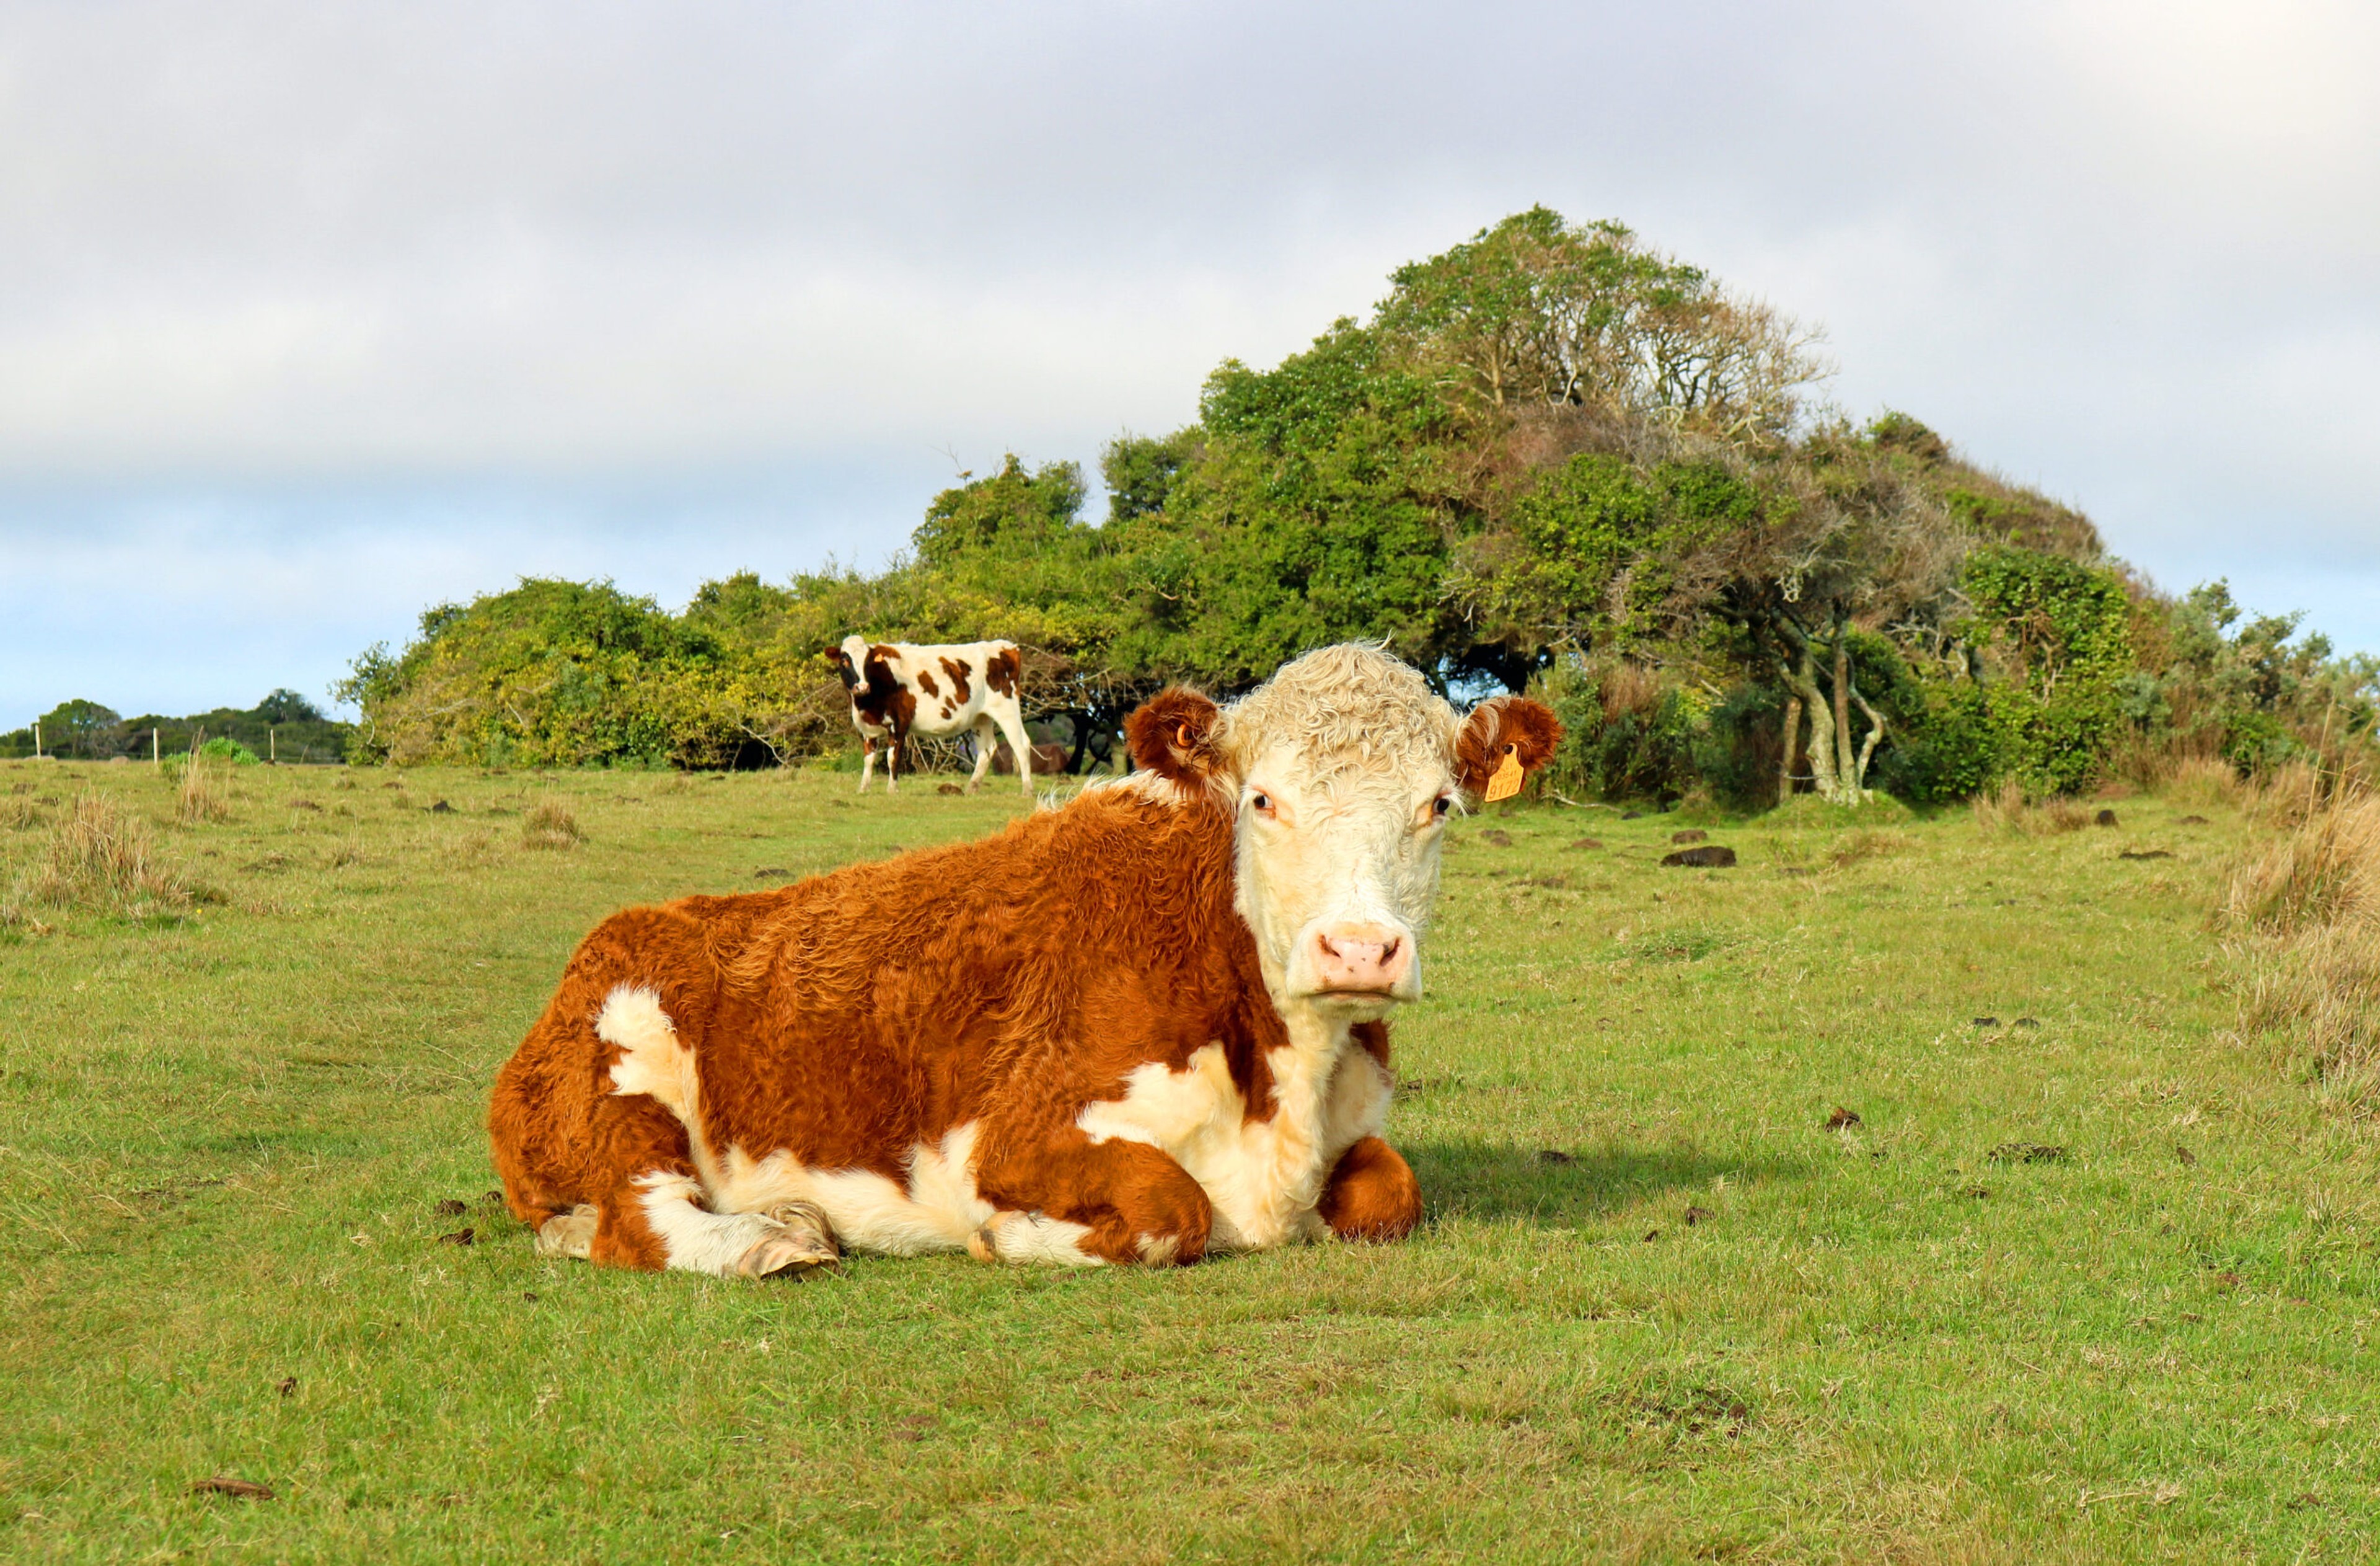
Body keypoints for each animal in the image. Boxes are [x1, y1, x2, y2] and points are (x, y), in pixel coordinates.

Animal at [828, 635, 1036, 795]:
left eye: (868, 663)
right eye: (845, 661)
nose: (862, 687)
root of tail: (1008, 647)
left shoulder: (899, 724)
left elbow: (892, 757)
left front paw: (892, 790)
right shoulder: (867, 729)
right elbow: (869, 758)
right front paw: (863, 789)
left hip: (1007, 710)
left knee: (1021, 744)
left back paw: (1027, 790)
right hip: (980, 718)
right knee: (987, 749)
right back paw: (971, 788)